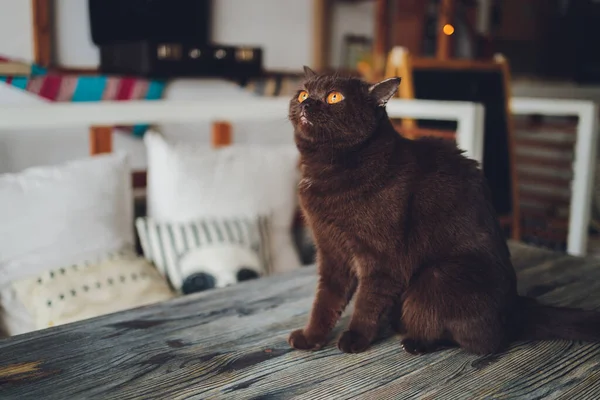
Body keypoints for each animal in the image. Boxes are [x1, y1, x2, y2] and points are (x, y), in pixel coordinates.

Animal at [286, 66, 600, 356]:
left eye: (334, 97)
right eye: (302, 93)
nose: (307, 103)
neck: (326, 168)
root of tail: (516, 308)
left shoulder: (382, 259)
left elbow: (367, 303)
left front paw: (355, 339)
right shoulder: (332, 252)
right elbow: (326, 301)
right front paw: (311, 337)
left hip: (434, 280)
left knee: (483, 341)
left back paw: (414, 341)